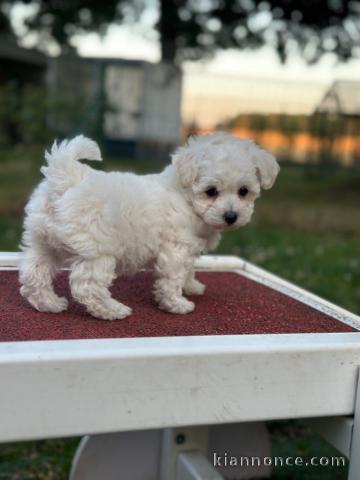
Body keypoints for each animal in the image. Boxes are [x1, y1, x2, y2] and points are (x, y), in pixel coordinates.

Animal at [19, 130, 278, 318]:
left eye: (243, 191)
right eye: (211, 191)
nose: (231, 216)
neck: (185, 196)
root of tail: (67, 177)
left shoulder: (188, 249)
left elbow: (188, 270)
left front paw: (192, 286)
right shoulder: (176, 250)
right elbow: (173, 278)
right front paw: (177, 304)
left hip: (42, 241)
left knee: (34, 273)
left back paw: (49, 303)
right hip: (98, 251)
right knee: (87, 286)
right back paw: (113, 311)